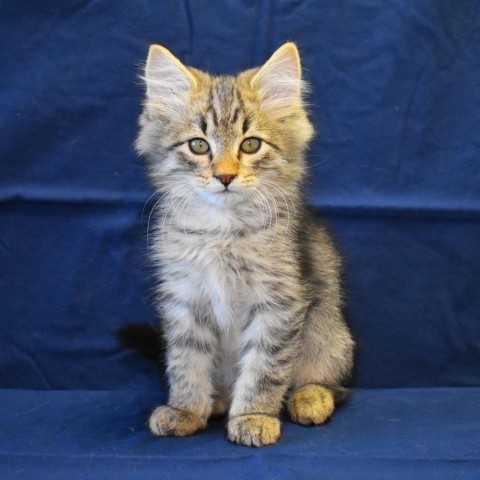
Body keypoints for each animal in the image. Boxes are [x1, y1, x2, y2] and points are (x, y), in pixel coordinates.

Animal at [125, 41, 354, 446]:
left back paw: (309, 397)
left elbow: (265, 367)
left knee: (331, 384)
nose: (225, 176)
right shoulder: (184, 298)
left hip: (331, 334)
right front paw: (187, 410)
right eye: (198, 146)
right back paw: (217, 400)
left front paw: (254, 416)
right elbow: (186, 362)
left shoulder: (280, 301)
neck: (222, 230)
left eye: (250, 145)